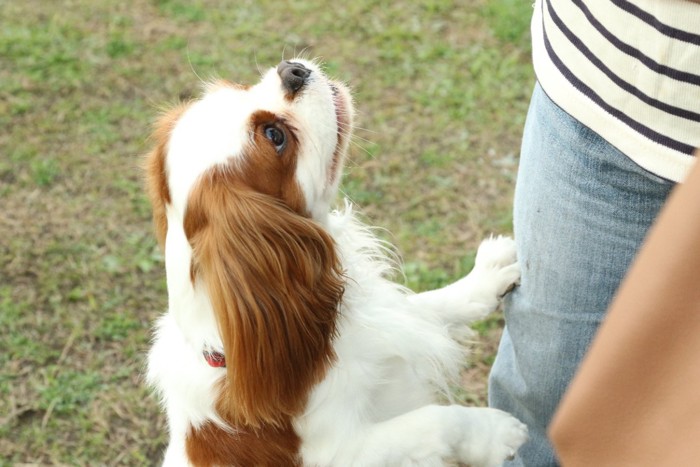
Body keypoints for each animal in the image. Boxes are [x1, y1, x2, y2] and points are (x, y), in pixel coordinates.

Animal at [145, 59, 528, 467]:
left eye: (241, 87)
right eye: (275, 136)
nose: (292, 70)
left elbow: (430, 303)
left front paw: (486, 276)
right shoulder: (345, 450)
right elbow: (436, 422)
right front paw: (494, 433)